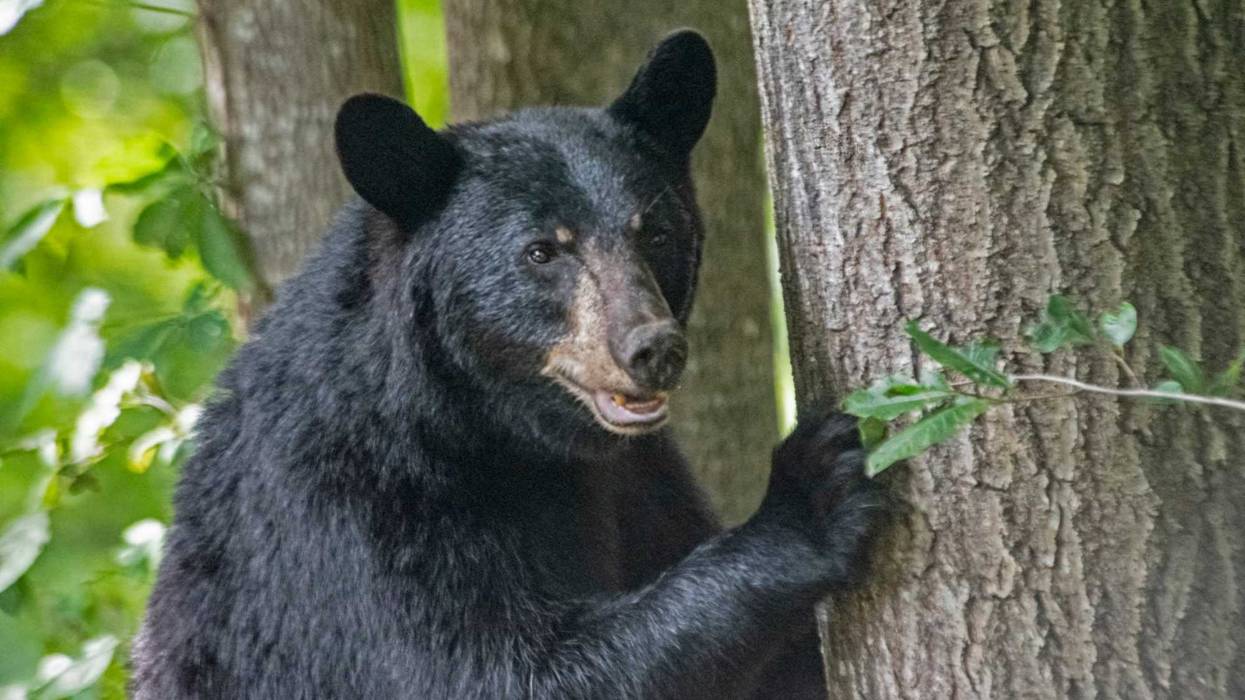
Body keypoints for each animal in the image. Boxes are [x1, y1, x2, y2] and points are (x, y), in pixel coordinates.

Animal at [131, 30, 887, 699]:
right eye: (541, 251)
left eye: (657, 231)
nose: (652, 349)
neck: (498, 433)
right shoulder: (345, 510)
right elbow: (483, 670)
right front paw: (807, 497)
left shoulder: (638, 478)